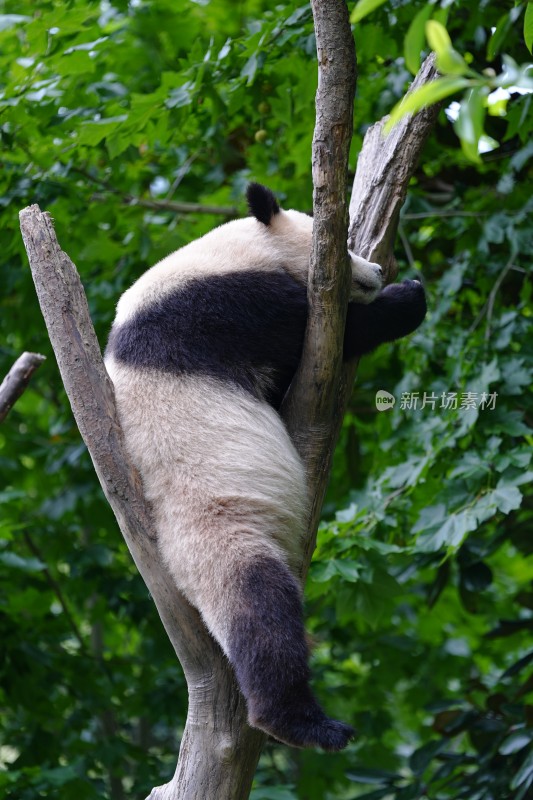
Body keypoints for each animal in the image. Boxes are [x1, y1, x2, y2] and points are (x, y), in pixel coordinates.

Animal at [106, 184, 426, 752]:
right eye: (341, 245)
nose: (375, 272)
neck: (232, 252)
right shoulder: (217, 307)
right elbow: (313, 332)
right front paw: (406, 300)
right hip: (219, 530)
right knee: (261, 609)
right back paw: (303, 724)